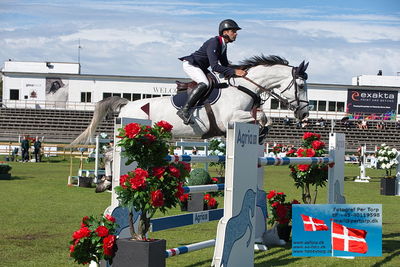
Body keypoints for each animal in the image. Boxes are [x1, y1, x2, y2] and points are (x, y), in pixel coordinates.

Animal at [72, 55, 310, 146]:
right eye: (300, 86)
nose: (305, 114)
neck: (244, 88)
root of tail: (126, 104)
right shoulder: (231, 118)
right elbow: (261, 119)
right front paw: (260, 134)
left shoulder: (246, 114)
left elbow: (264, 117)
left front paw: (262, 135)